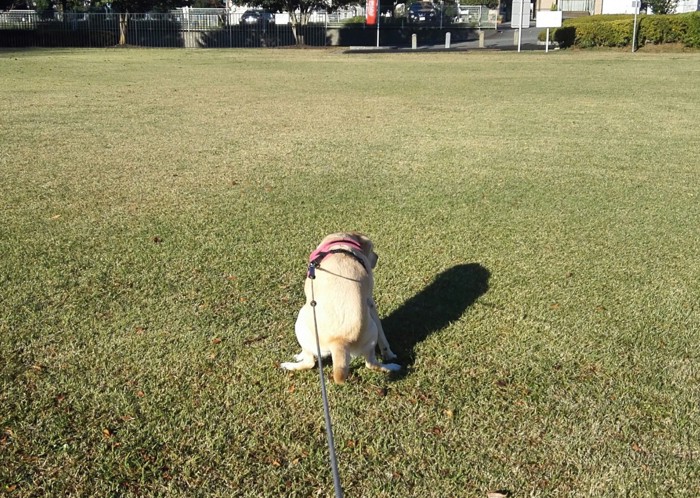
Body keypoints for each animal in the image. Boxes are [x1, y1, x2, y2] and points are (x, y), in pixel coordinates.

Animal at [280, 233, 400, 386]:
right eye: (372, 250)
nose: (377, 257)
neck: (341, 245)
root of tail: (339, 341)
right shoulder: (371, 302)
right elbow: (383, 337)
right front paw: (389, 354)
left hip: (301, 320)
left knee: (309, 362)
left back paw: (289, 365)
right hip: (371, 333)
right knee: (371, 363)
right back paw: (392, 367)